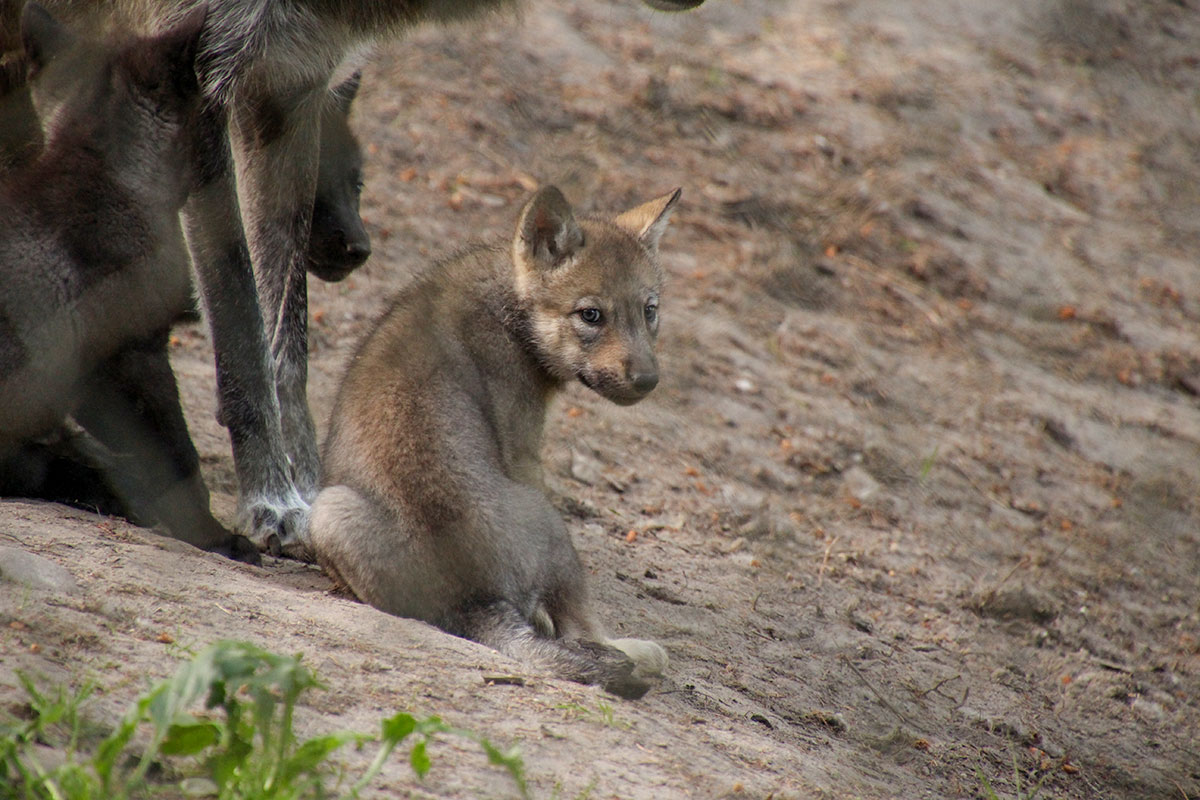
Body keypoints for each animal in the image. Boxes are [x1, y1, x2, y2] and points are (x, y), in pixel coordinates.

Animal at [1, 0, 706, 557]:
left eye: (651, 312)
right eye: (591, 316)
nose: (358, 248)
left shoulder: (282, 89)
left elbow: (286, 349)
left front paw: (311, 493)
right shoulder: (214, 86)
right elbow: (242, 342)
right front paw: (265, 505)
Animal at [307, 185, 680, 698]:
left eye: (649, 311)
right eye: (591, 315)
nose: (647, 381)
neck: (510, 305)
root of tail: (477, 601)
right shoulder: (524, 451)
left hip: (327, 511)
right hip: (553, 522)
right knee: (586, 632)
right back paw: (643, 653)